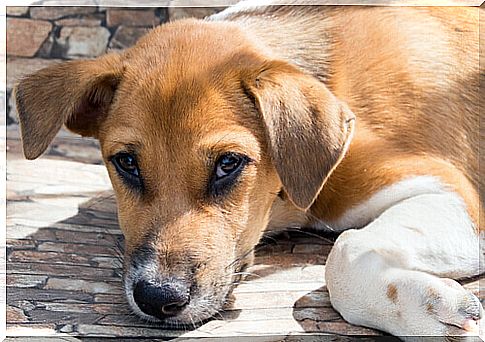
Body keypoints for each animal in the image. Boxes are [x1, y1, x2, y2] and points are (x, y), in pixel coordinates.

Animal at [14, 2, 484, 340]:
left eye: (229, 163)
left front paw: (431, 310)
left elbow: (343, 254)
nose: (158, 298)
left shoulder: (451, 191)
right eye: (126, 162)